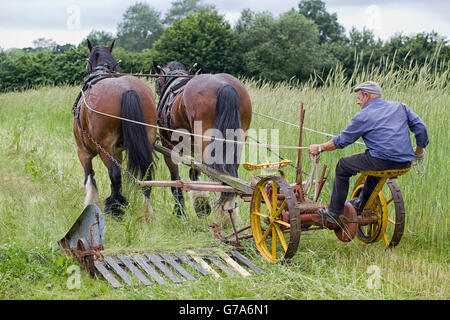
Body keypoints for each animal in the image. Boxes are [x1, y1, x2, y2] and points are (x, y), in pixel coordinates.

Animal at [73, 40, 157, 218]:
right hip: (148, 140)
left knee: (114, 174)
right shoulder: (118, 151)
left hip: (104, 148)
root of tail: (127, 89)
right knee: (146, 177)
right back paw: (146, 212)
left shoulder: (83, 151)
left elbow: (89, 177)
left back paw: (115, 207)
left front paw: (91, 204)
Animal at [154, 59, 253, 225]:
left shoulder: (168, 146)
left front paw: (184, 210)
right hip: (237, 143)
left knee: (217, 177)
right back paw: (229, 212)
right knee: (229, 179)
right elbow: (195, 171)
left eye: (156, 80)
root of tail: (224, 85)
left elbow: (177, 178)